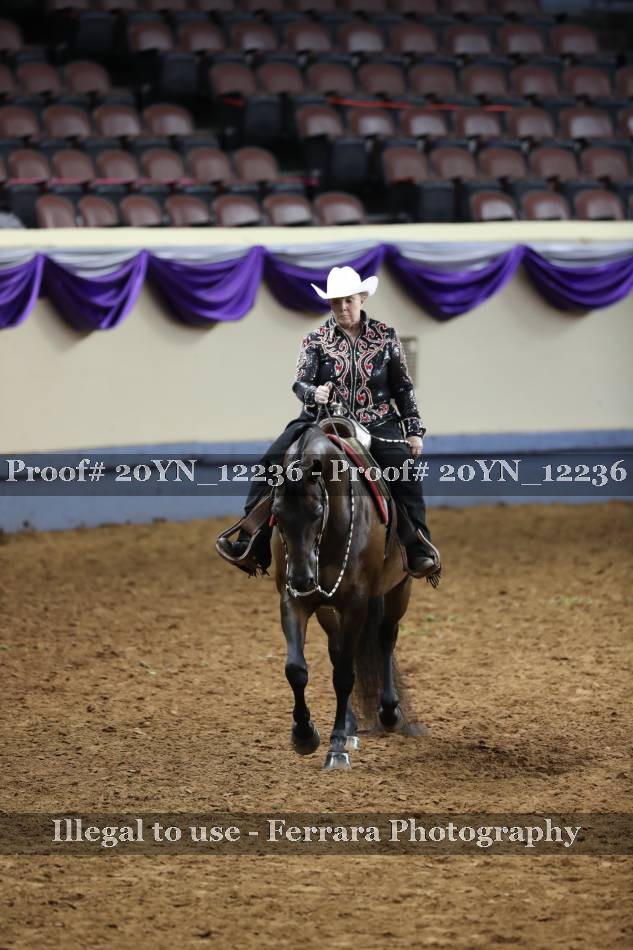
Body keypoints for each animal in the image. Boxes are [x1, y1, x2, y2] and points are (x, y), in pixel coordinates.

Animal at [271, 423, 414, 770]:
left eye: (316, 511)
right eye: (276, 514)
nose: (302, 578)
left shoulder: (354, 604)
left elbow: (345, 676)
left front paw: (336, 746)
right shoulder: (293, 601)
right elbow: (296, 669)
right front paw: (304, 734)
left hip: (398, 589)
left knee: (385, 638)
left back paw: (388, 712)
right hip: (327, 608)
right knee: (337, 650)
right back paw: (349, 726)